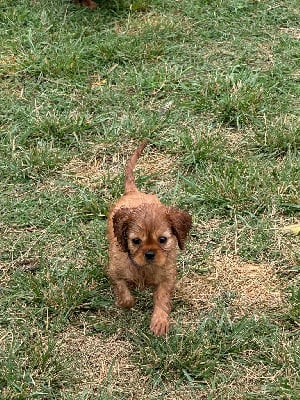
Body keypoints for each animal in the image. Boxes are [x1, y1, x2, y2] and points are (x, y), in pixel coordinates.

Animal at [107, 141, 192, 334]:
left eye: (162, 240)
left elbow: (162, 298)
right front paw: (126, 301)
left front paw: (159, 321)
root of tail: (134, 191)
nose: (150, 254)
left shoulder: (167, 278)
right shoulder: (115, 272)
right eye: (136, 241)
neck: (144, 269)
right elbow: (124, 293)